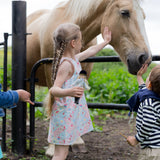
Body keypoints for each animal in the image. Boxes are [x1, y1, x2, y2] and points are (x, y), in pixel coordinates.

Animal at [26, 0, 152, 156]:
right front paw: (52, 147)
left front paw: (76, 140)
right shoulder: (52, 69)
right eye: (125, 12)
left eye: (144, 16)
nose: (145, 59)